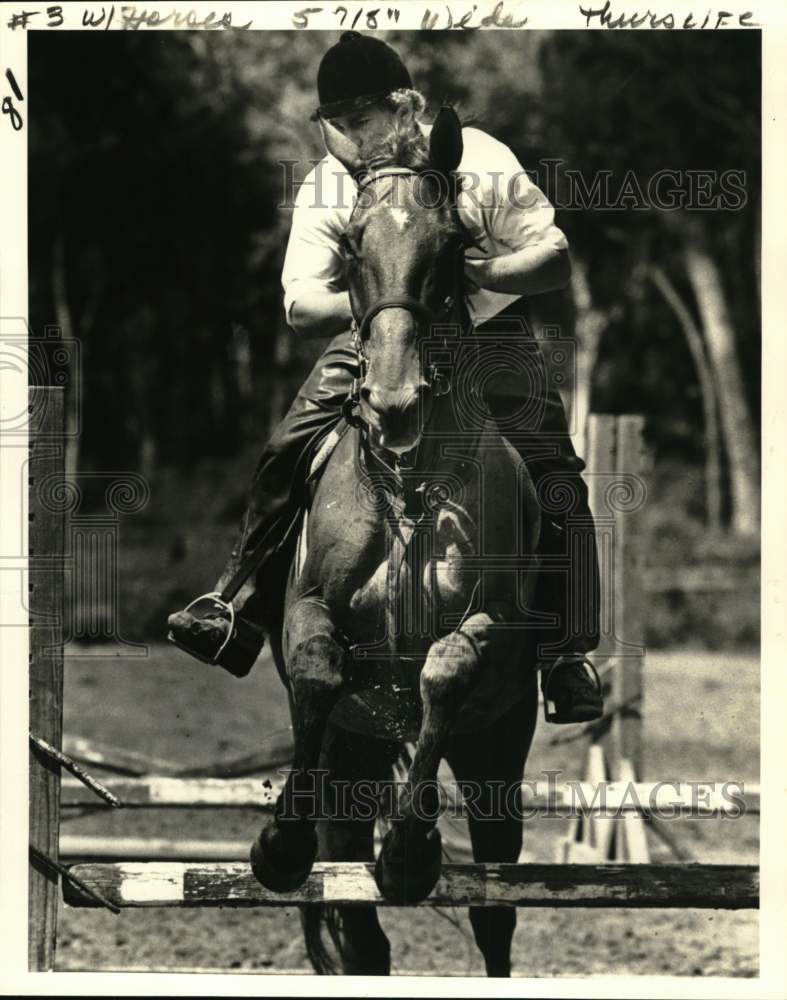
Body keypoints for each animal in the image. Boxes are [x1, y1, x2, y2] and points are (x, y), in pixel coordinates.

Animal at [251, 109, 540, 976]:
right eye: (350, 243)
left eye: (452, 245)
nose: (392, 398)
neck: (410, 479)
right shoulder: (311, 612)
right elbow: (317, 670)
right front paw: (279, 845)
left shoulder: (492, 625)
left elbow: (444, 670)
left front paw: (410, 853)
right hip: (354, 756)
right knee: (358, 917)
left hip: (495, 756)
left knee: (492, 911)